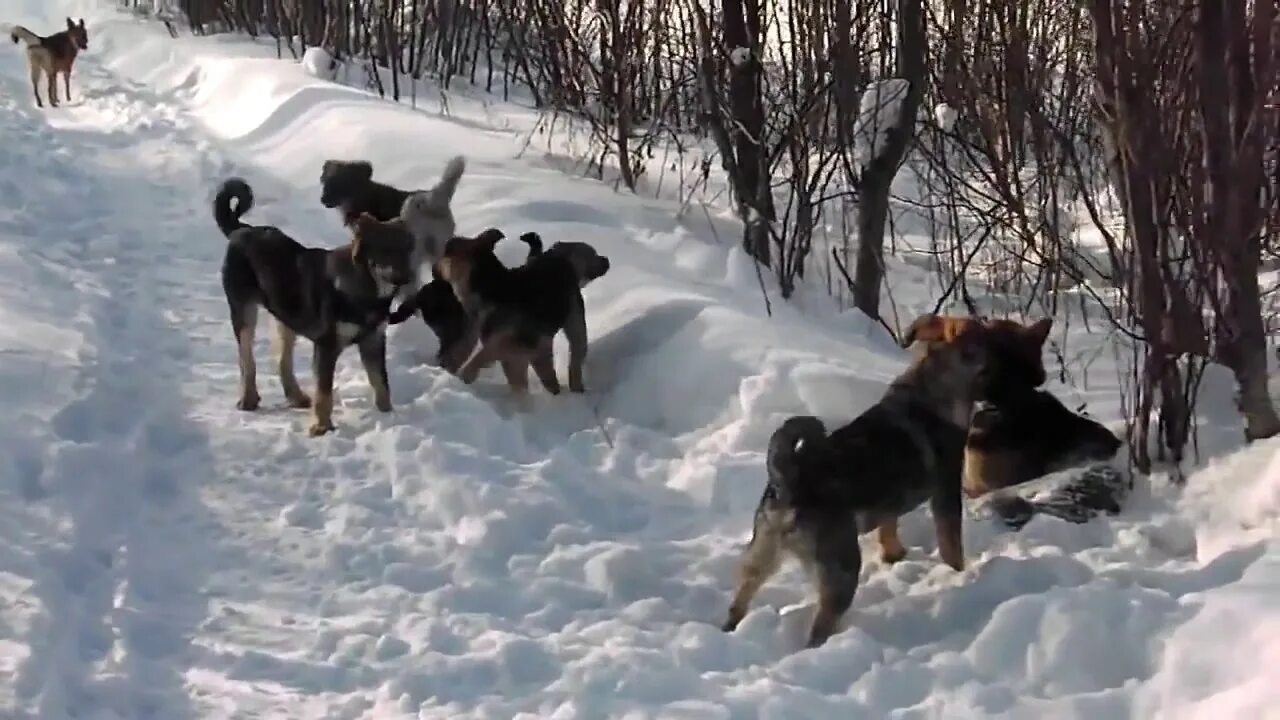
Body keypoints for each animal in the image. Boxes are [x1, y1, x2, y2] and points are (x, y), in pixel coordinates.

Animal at [212, 178, 414, 438]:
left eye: (408, 249)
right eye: (385, 250)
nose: (408, 277)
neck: (365, 288)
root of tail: (241, 230)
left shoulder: (373, 341)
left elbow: (381, 384)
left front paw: (388, 416)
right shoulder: (327, 345)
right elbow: (324, 392)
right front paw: (321, 427)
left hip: (286, 314)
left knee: (282, 360)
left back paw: (296, 398)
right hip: (244, 312)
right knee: (247, 360)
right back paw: (248, 399)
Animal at [721, 311, 1049, 648]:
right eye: (984, 332)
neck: (935, 385)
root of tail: (788, 481)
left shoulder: (890, 504)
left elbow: (888, 529)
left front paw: (895, 556)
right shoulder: (946, 490)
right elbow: (951, 545)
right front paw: (958, 573)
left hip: (760, 556)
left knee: (739, 601)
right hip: (841, 570)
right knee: (820, 627)